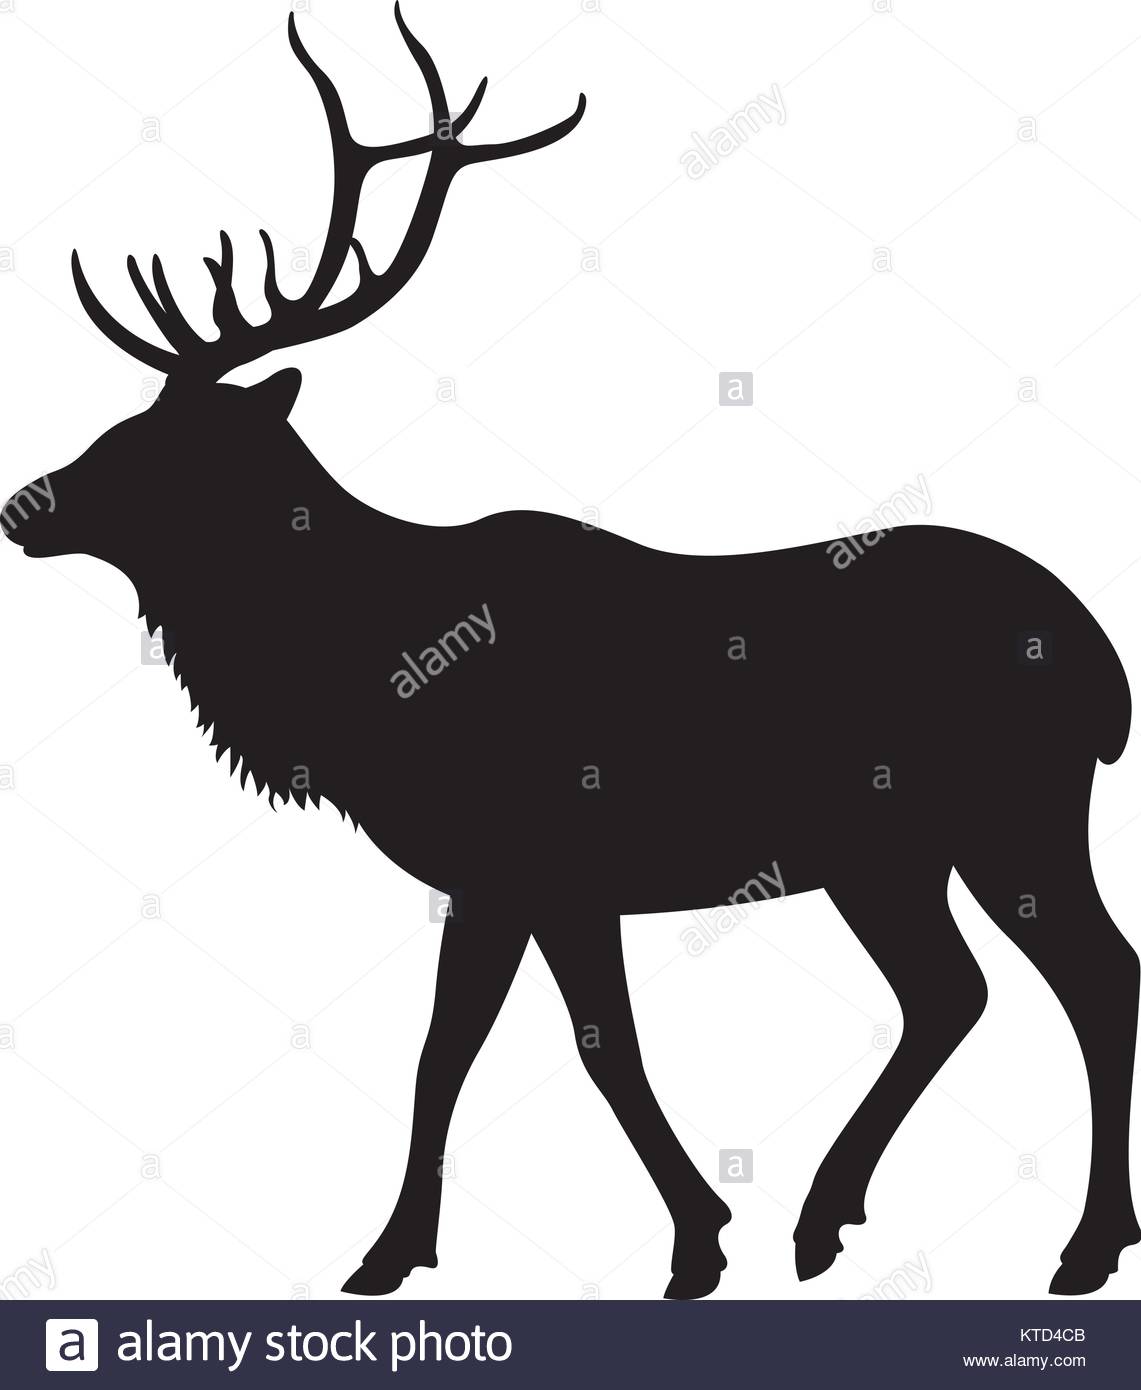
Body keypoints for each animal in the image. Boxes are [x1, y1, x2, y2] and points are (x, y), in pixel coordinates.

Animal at [4, 3, 1139, 1300]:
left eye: (164, 445)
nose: (24, 504)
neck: (363, 677)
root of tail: (1106, 671)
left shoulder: (543, 860)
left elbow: (553, 1051)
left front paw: (658, 1244)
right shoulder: (510, 878)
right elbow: (494, 1049)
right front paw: (449, 1248)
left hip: (1013, 811)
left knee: (1097, 977)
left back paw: (1082, 1243)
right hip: (885, 852)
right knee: (951, 991)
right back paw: (825, 1218)